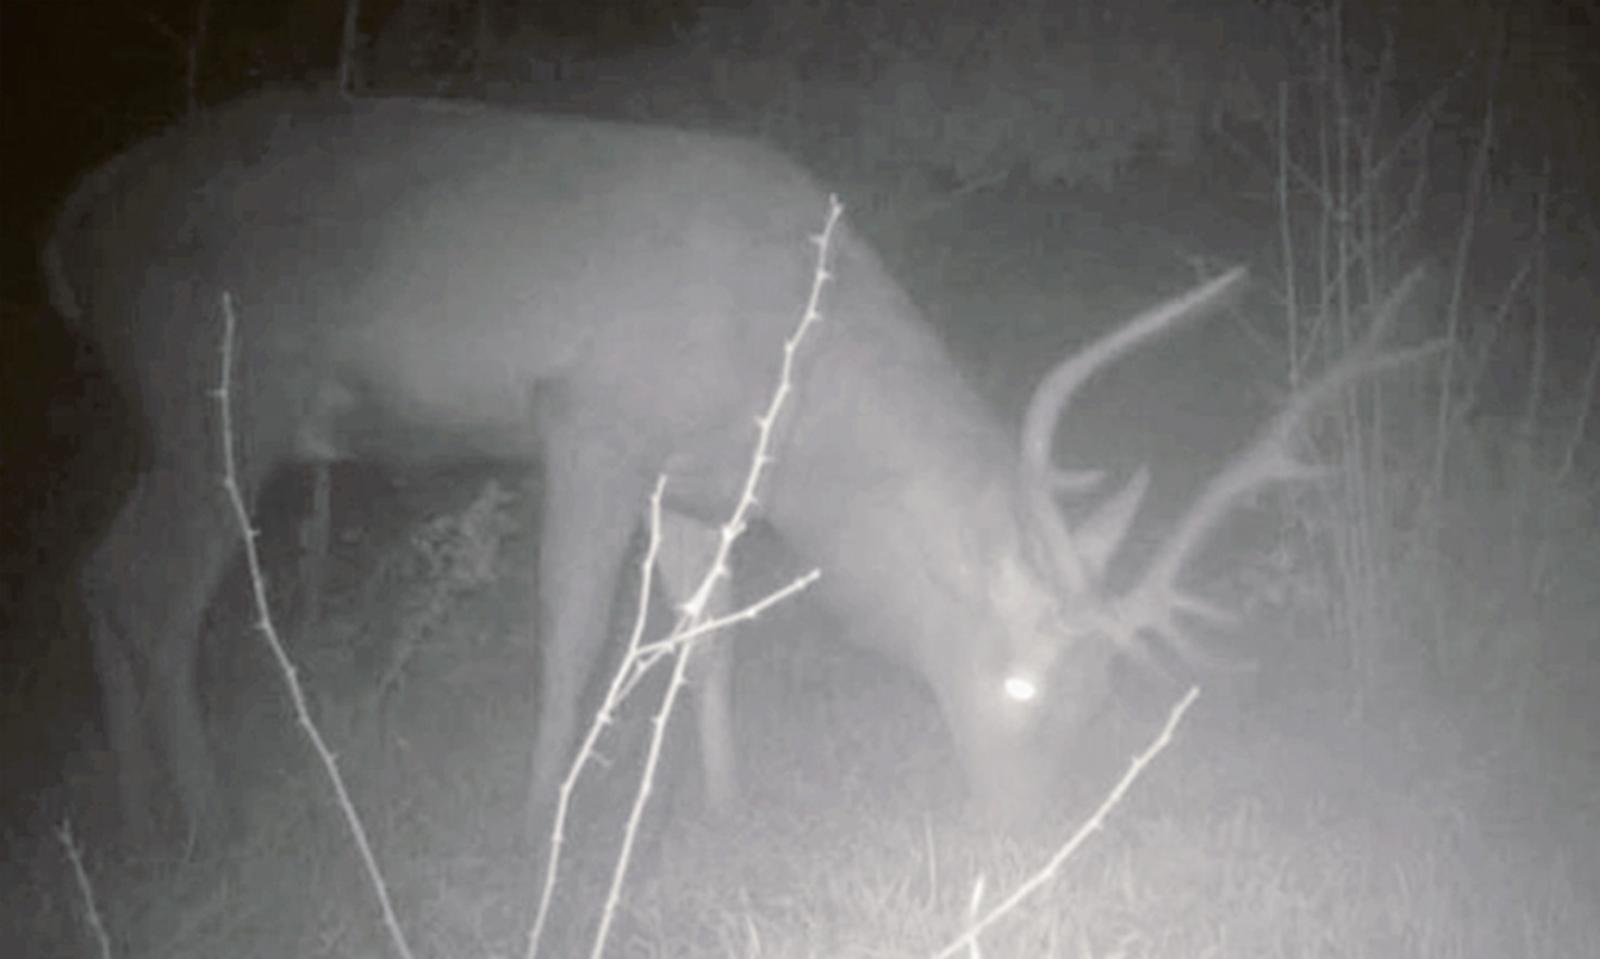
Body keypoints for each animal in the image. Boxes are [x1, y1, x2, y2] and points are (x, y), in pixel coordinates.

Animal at [45, 92, 1426, 844]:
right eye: (1023, 685)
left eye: (1099, 701)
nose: (1025, 823)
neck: (791, 394)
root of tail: (75, 224)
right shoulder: (587, 416)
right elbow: (574, 634)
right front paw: (539, 821)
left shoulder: (699, 480)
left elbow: (706, 637)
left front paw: (717, 803)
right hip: (227, 387)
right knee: (152, 590)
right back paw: (209, 818)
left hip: (180, 412)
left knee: (100, 571)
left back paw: (137, 819)